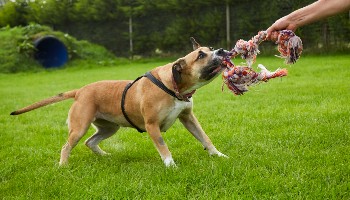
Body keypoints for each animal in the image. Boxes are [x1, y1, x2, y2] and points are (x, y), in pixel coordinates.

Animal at [10, 38, 228, 167]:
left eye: (210, 48)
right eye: (201, 55)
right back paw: (63, 166)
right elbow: (163, 147)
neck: (174, 86)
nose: (222, 51)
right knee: (67, 146)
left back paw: (104, 155)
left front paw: (218, 155)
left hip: (109, 128)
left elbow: (205, 138)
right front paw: (171, 165)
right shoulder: (152, 126)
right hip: (79, 127)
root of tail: (80, 91)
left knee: (90, 141)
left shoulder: (189, 118)